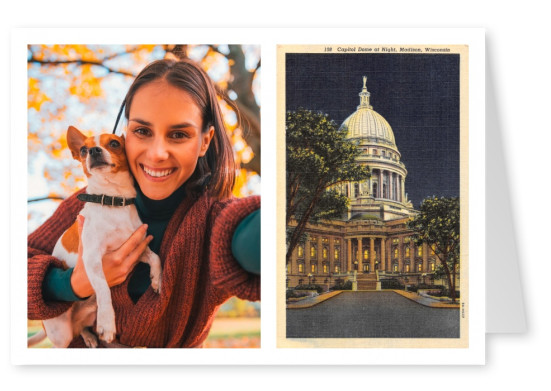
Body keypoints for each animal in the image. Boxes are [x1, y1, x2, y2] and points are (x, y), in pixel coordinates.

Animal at [28, 126, 161, 350]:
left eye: (114, 143)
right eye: (83, 150)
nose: (93, 151)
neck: (113, 200)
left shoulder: (136, 248)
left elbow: (156, 257)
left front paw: (157, 279)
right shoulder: (92, 259)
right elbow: (104, 289)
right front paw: (108, 324)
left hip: (88, 315)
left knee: (81, 327)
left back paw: (89, 336)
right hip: (61, 334)